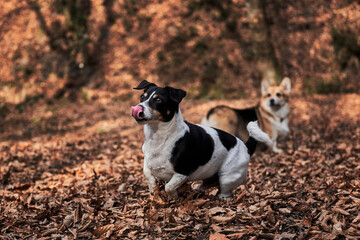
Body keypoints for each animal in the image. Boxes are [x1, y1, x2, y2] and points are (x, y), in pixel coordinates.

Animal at [131, 80, 270, 199]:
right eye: (142, 97)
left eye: (158, 100)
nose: (138, 108)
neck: (160, 137)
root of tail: (246, 147)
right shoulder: (148, 162)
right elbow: (147, 173)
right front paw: (152, 189)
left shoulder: (182, 173)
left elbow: (169, 186)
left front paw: (173, 197)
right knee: (205, 185)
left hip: (228, 177)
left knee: (225, 191)